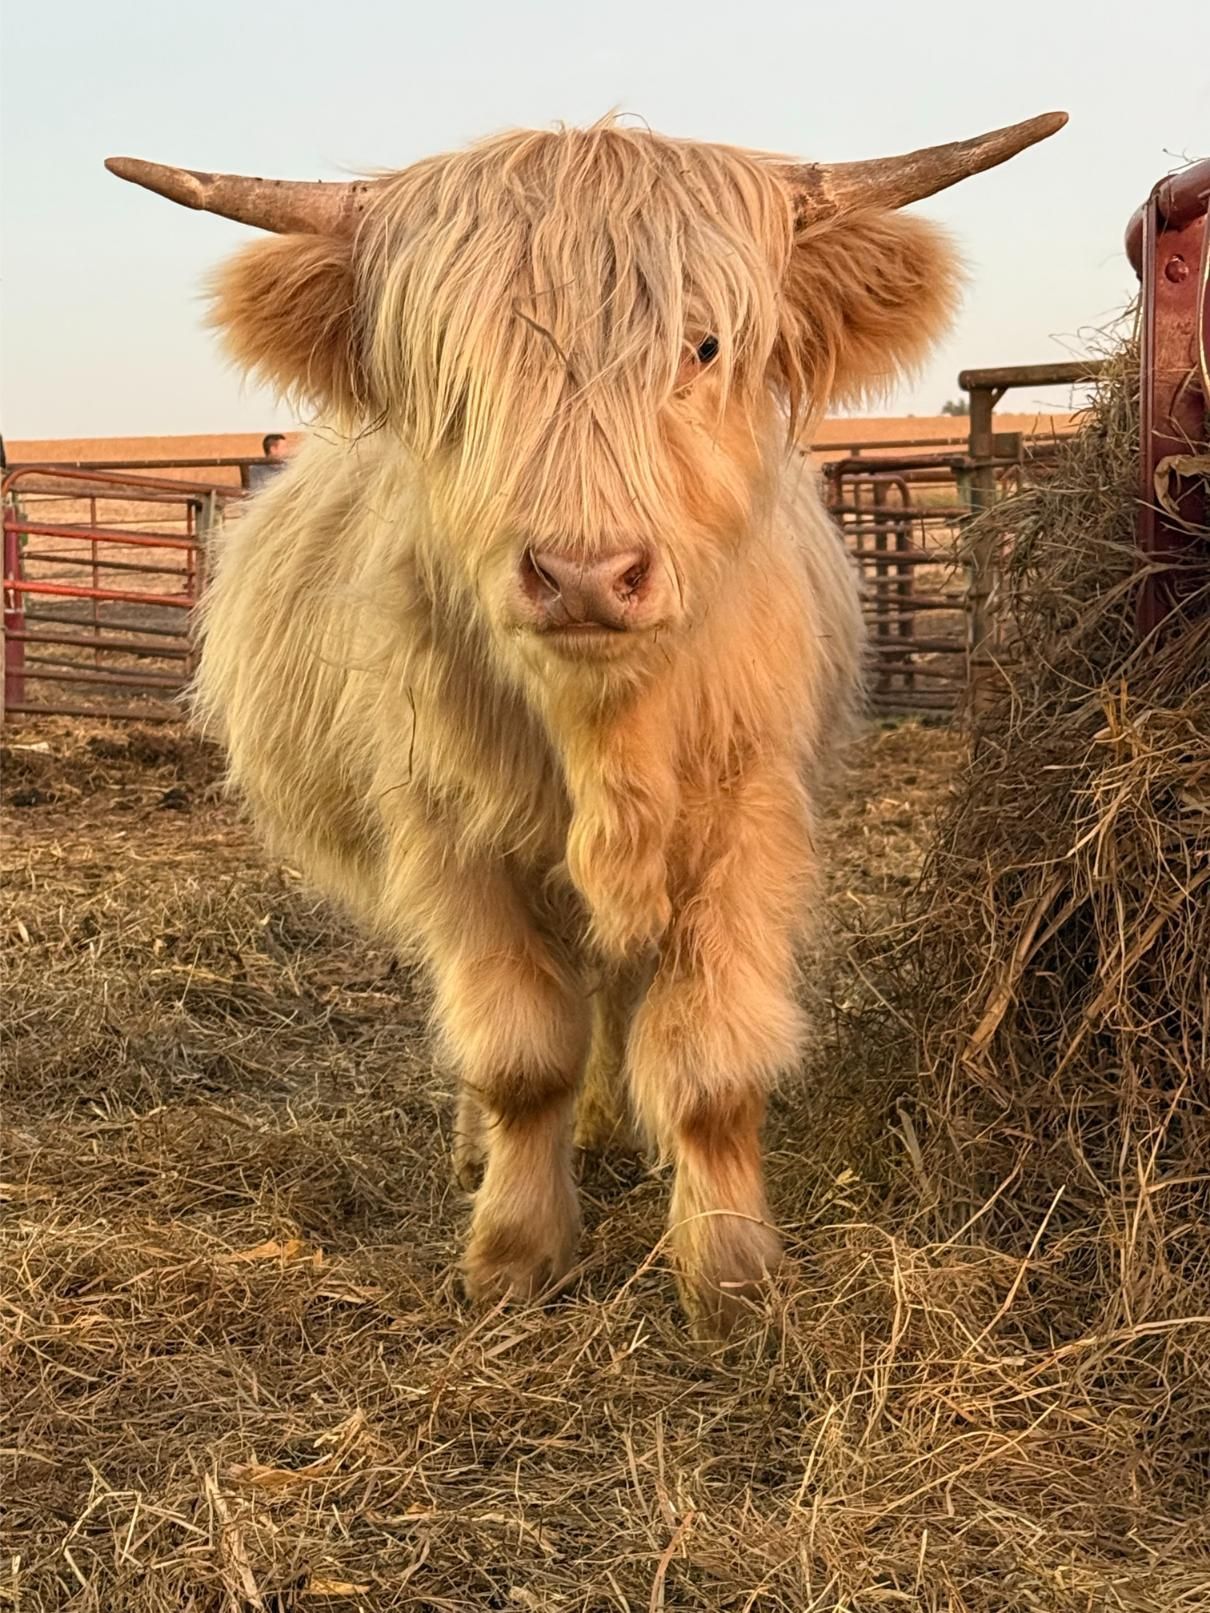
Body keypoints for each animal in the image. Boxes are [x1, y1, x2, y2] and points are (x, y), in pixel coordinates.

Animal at [107, 111, 1065, 1332]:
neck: (606, 733)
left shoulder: (746, 821)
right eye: (454, 368)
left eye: (702, 347)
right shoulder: (450, 833)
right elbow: (520, 1054)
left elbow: (709, 1064)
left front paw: (730, 1269)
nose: (583, 574)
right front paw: (515, 1250)